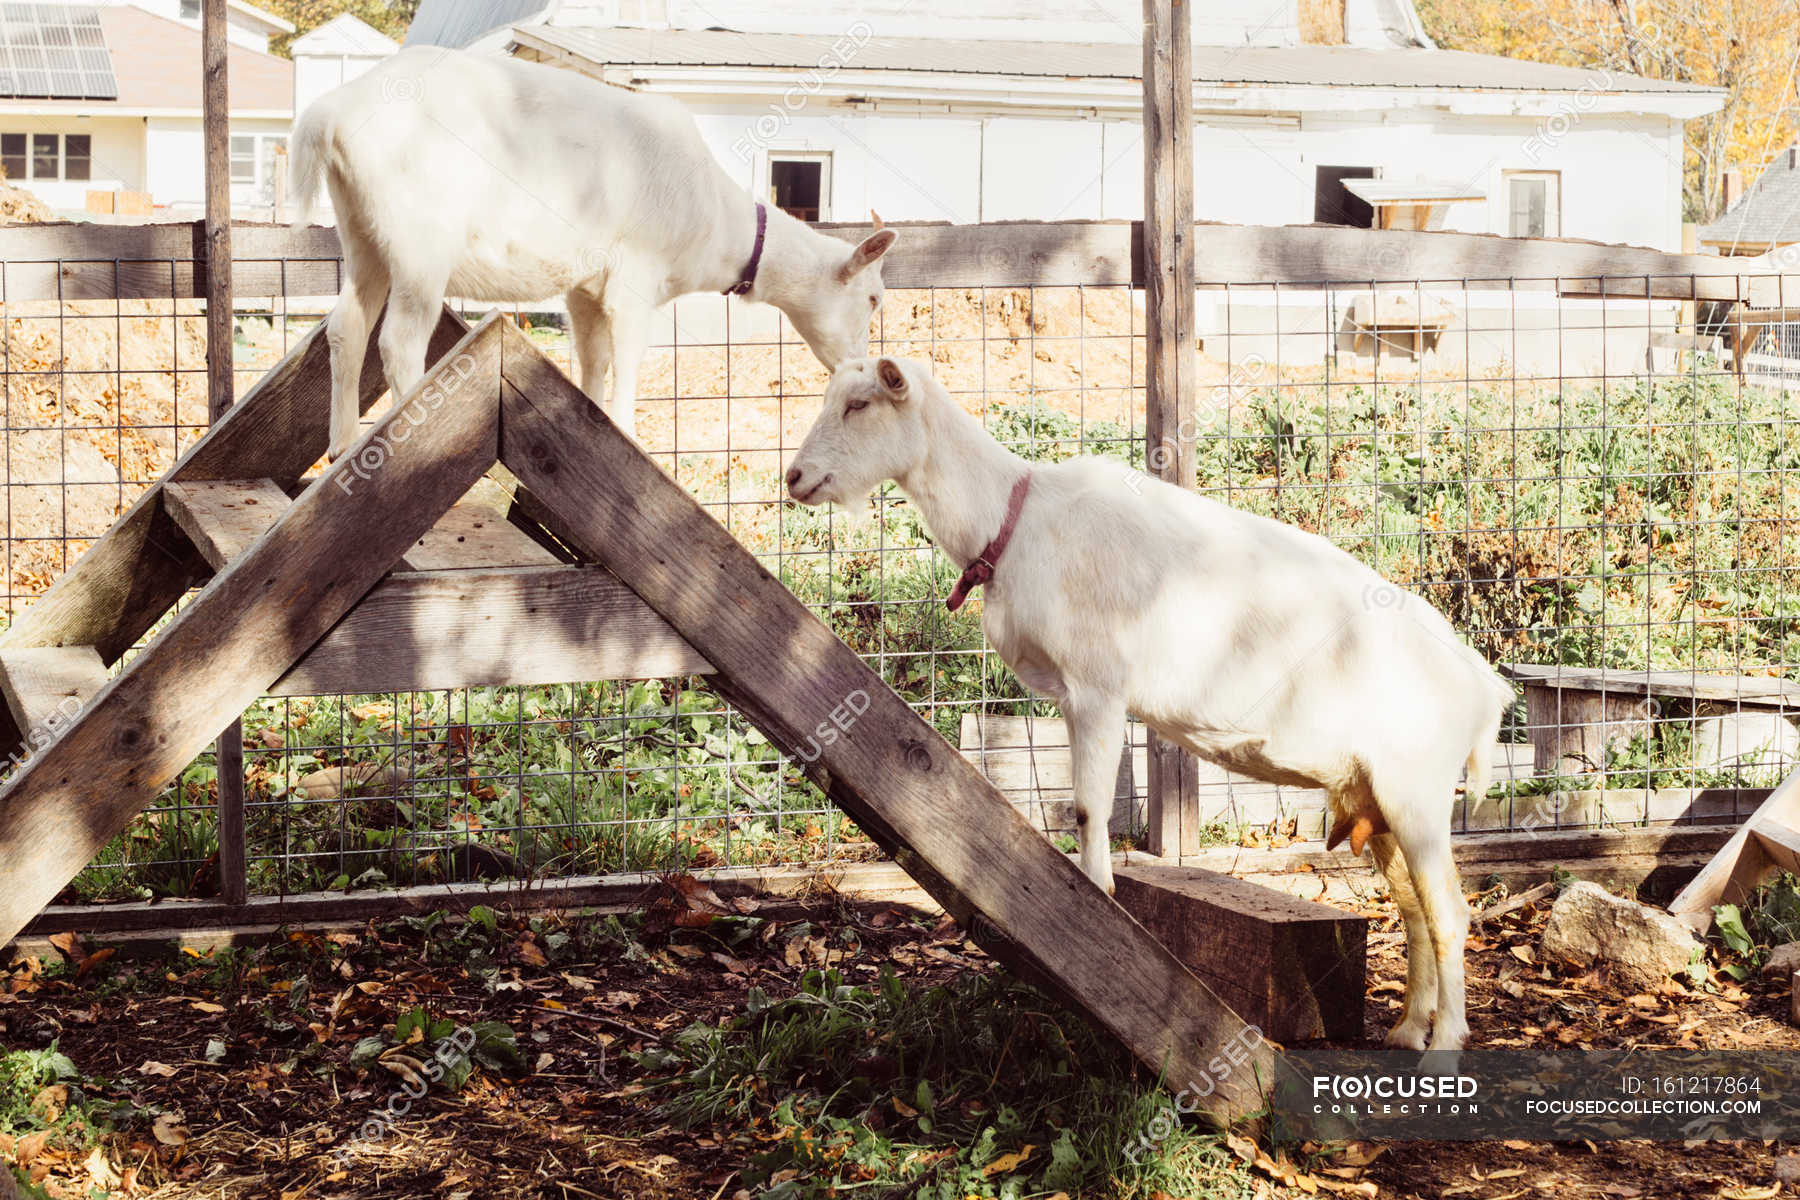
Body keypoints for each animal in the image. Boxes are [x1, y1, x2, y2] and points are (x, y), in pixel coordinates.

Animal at [289, 46, 898, 459]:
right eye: (873, 298)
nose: (858, 366)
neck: (717, 229)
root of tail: (329, 115)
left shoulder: (584, 288)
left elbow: (594, 358)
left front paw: (592, 422)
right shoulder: (636, 280)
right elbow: (628, 360)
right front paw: (630, 436)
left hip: (362, 232)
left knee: (346, 326)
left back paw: (341, 445)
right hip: (421, 244)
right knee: (399, 342)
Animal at [785, 357, 1514, 1051]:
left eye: (859, 404)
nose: (795, 477)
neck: (1017, 522)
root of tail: (1484, 686)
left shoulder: (1098, 686)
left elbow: (1088, 806)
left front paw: (1098, 898)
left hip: (1417, 790)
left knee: (1449, 913)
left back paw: (1445, 1042)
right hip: (1375, 796)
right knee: (1414, 910)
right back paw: (1407, 1029)